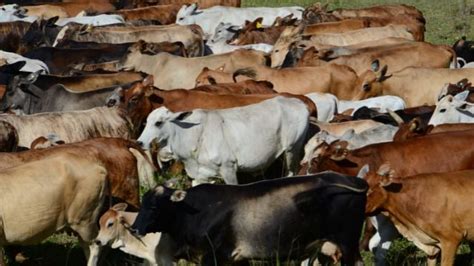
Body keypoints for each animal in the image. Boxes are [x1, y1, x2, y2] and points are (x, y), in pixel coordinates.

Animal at [131, 171, 368, 264]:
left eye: (153, 207)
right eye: (142, 203)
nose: (134, 229)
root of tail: (353, 180)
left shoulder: (212, 256)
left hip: (347, 243)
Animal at [137, 96, 310, 184]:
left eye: (158, 122)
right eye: (146, 121)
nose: (139, 142)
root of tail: (299, 102)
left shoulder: (229, 168)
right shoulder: (202, 176)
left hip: (292, 149)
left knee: (292, 172)